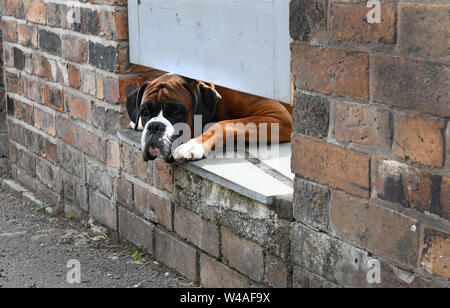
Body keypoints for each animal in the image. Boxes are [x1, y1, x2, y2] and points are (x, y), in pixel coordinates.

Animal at [125, 73, 294, 164]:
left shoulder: (278, 116)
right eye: (144, 112)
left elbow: (223, 124)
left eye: (176, 112)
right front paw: (137, 123)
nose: (155, 126)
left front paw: (193, 145)